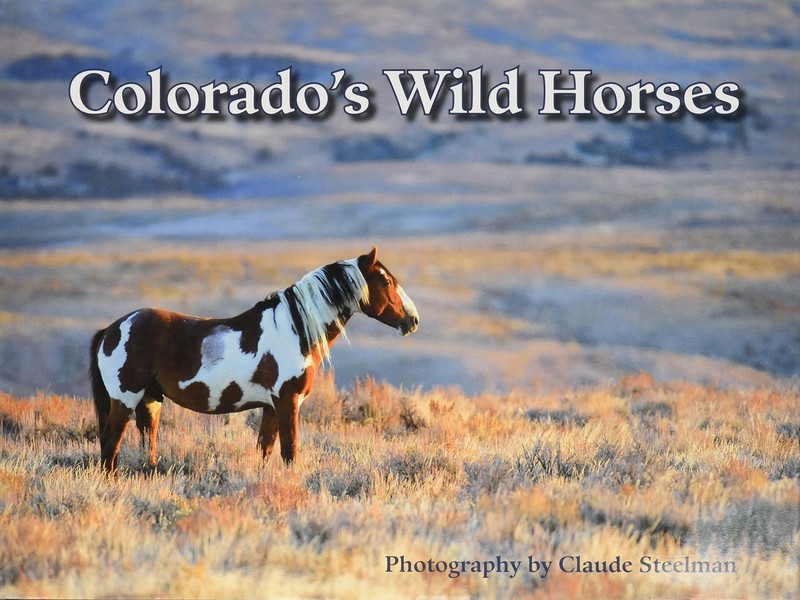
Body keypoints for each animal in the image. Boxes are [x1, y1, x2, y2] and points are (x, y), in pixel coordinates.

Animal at [88, 247, 419, 473]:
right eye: (386, 281)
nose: (413, 320)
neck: (294, 329)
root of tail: (112, 329)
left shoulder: (271, 407)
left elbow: (265, 450)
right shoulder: (287, 402)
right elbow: (289, 452)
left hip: (150, 400)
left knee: (147, 445)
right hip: (125, 399)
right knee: (109, 445)